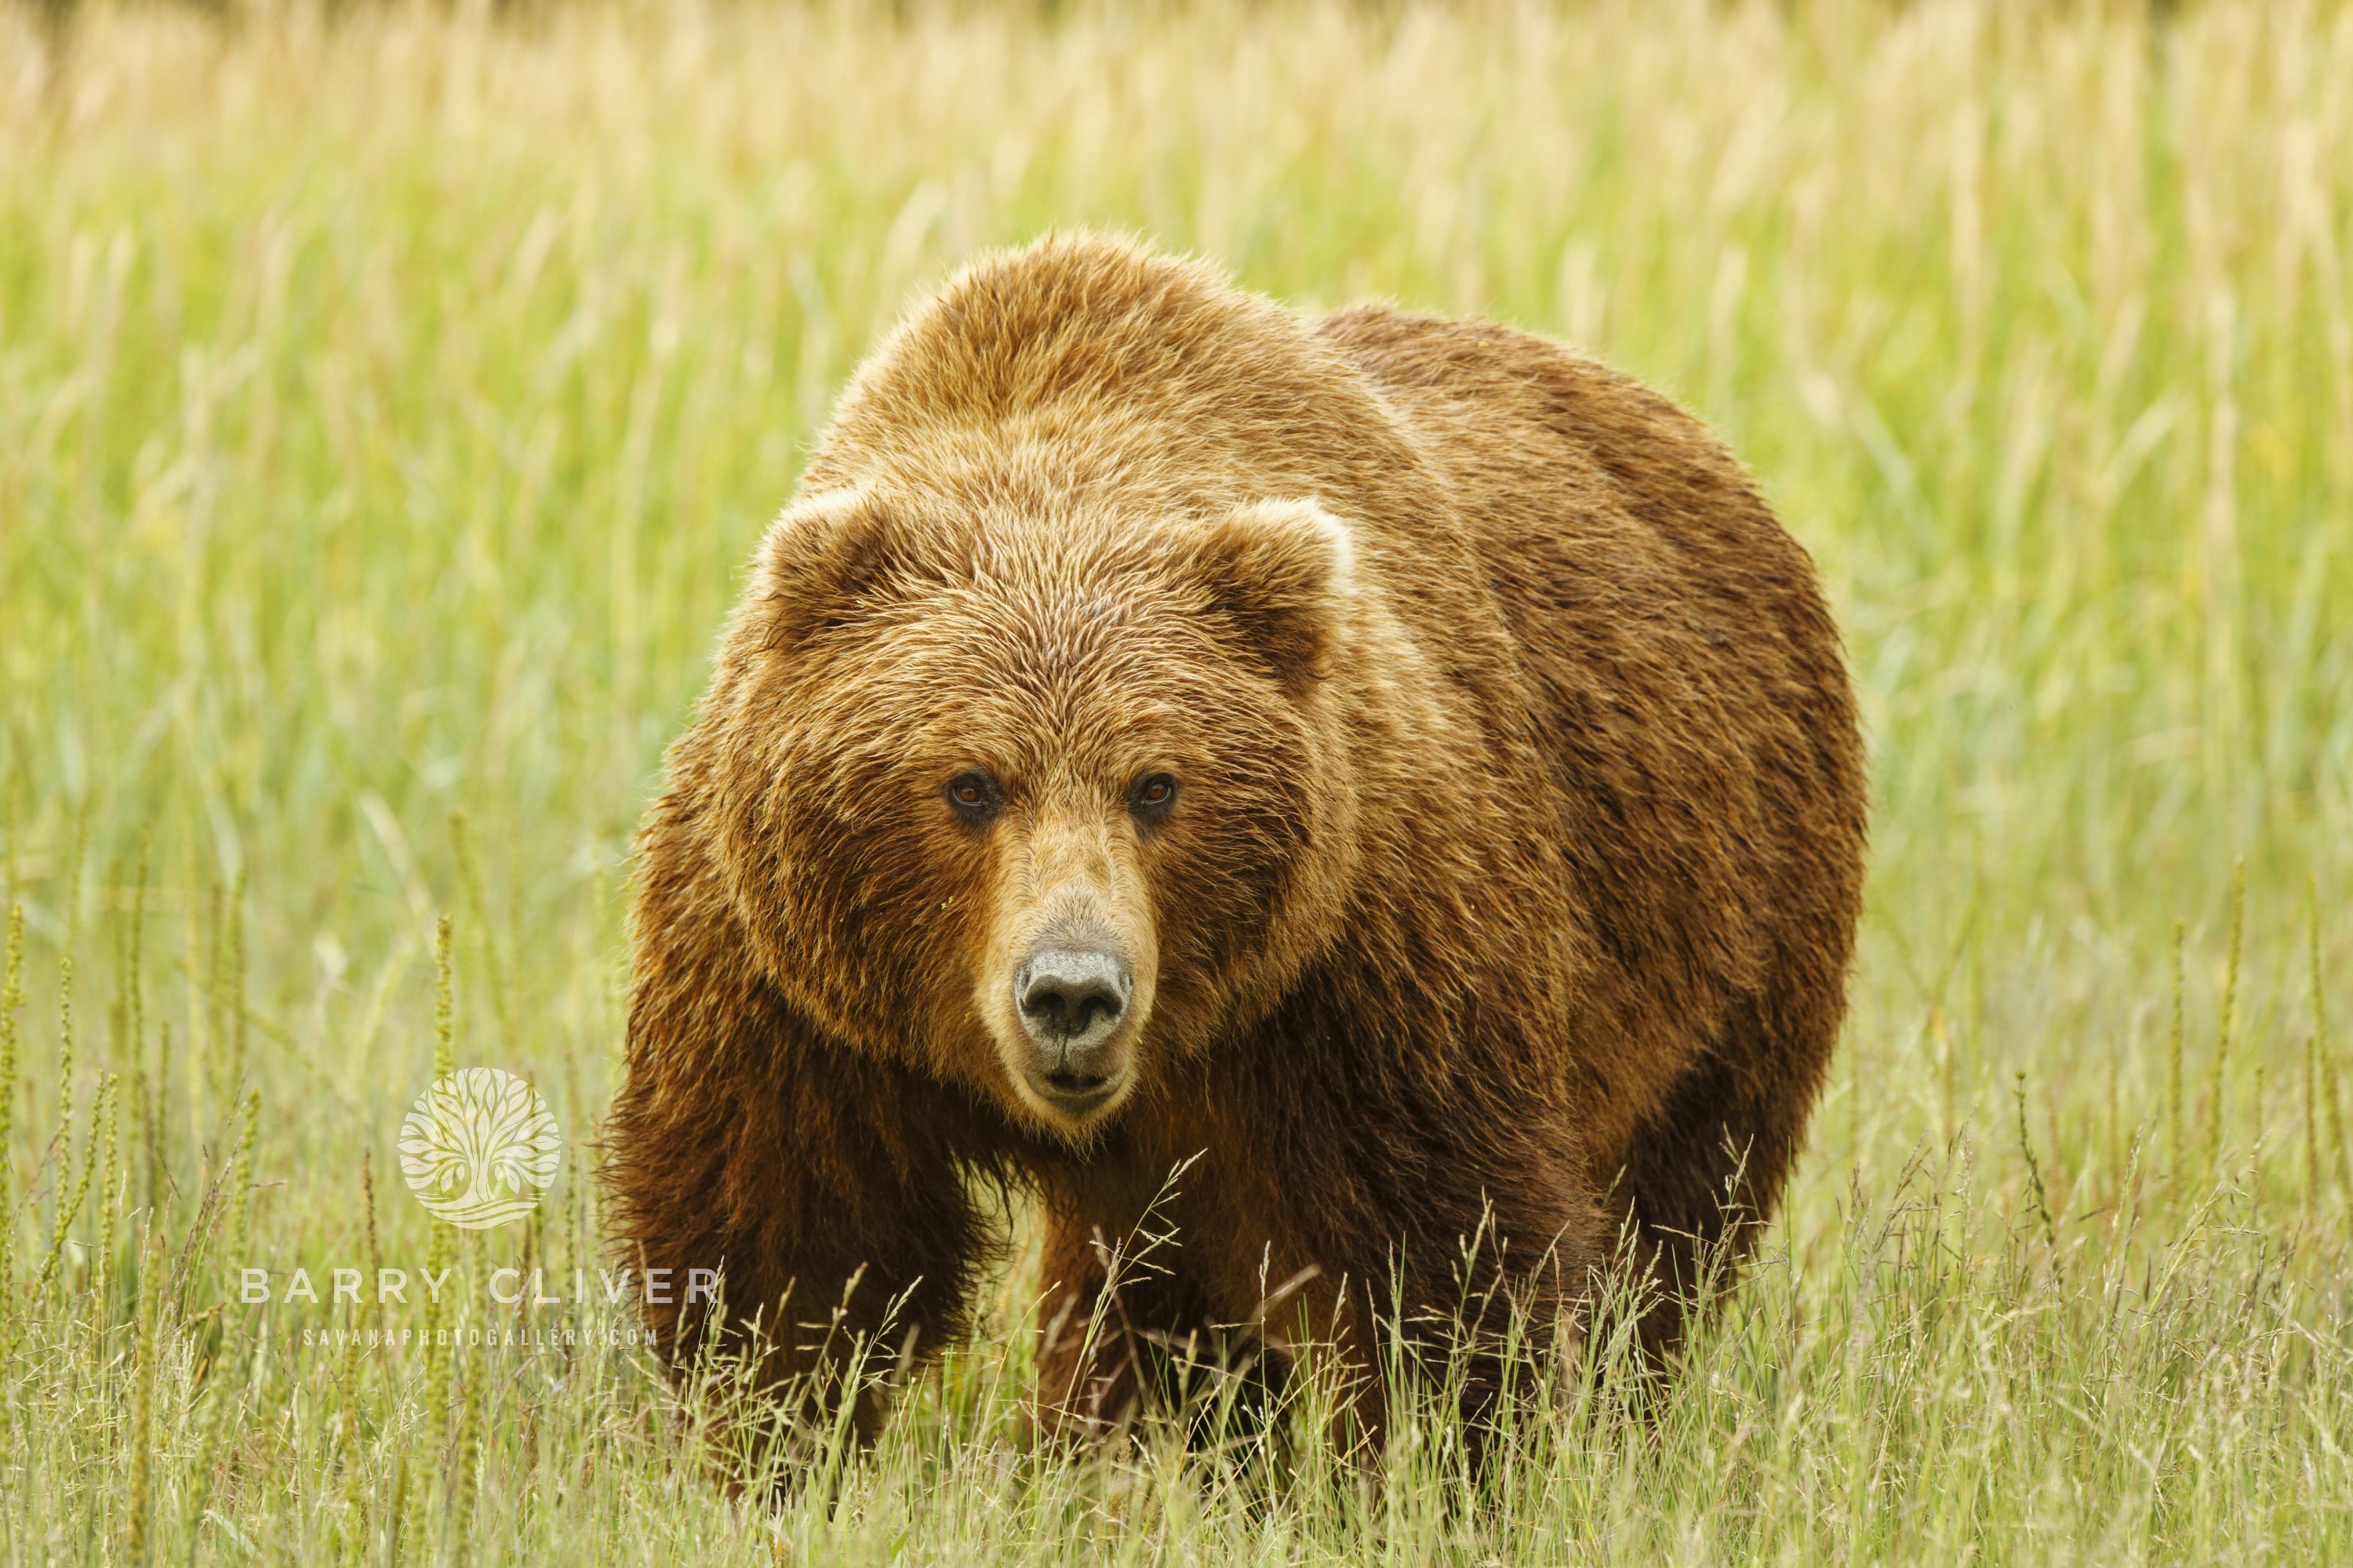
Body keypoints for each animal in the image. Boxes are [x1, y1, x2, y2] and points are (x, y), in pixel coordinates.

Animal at [605, 232, 1867, 1450]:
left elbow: (1442, 1263)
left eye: (1158, 784)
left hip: (1732, 936)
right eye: (970, 783)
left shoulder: (1357, 964)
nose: (1071, 990)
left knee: (1673, 1225)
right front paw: (770, 1446)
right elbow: (789, 1249)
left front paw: (1448, 1460)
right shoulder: (792, 988)